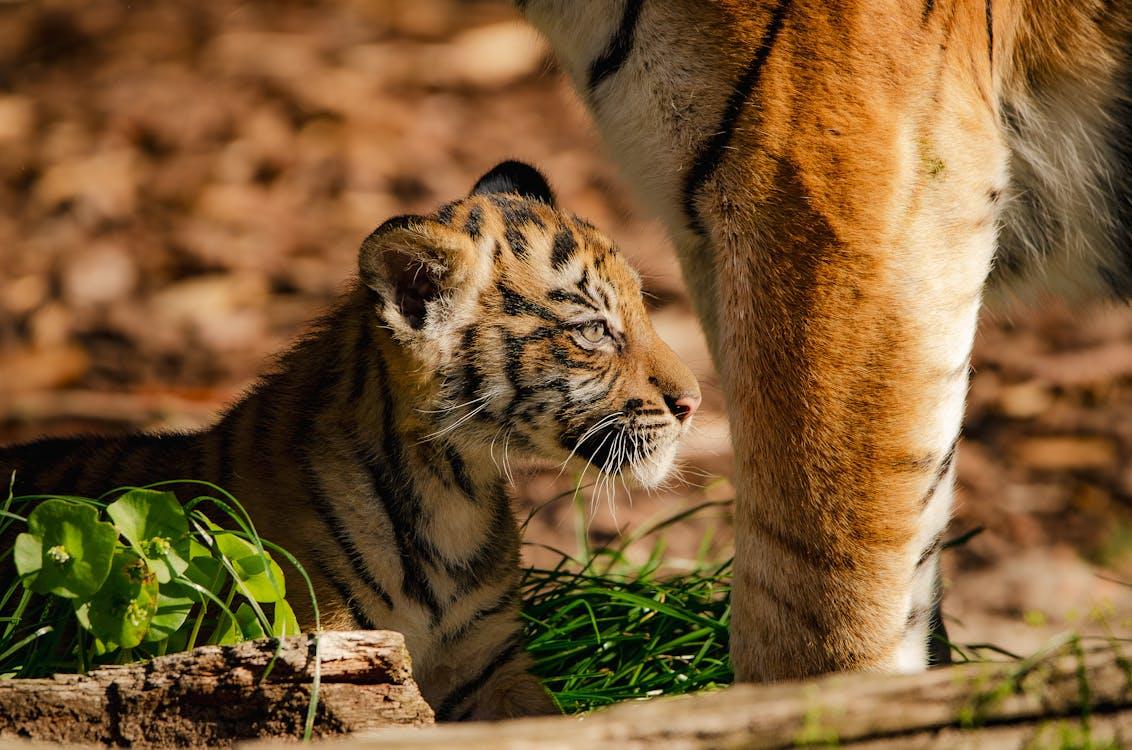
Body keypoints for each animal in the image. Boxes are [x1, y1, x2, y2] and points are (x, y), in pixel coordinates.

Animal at [2, 164, 697, 723]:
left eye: (642, 309)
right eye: (593, 330)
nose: (692, 403)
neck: (455, 494)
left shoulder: (493, 666)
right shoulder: (328, 651)